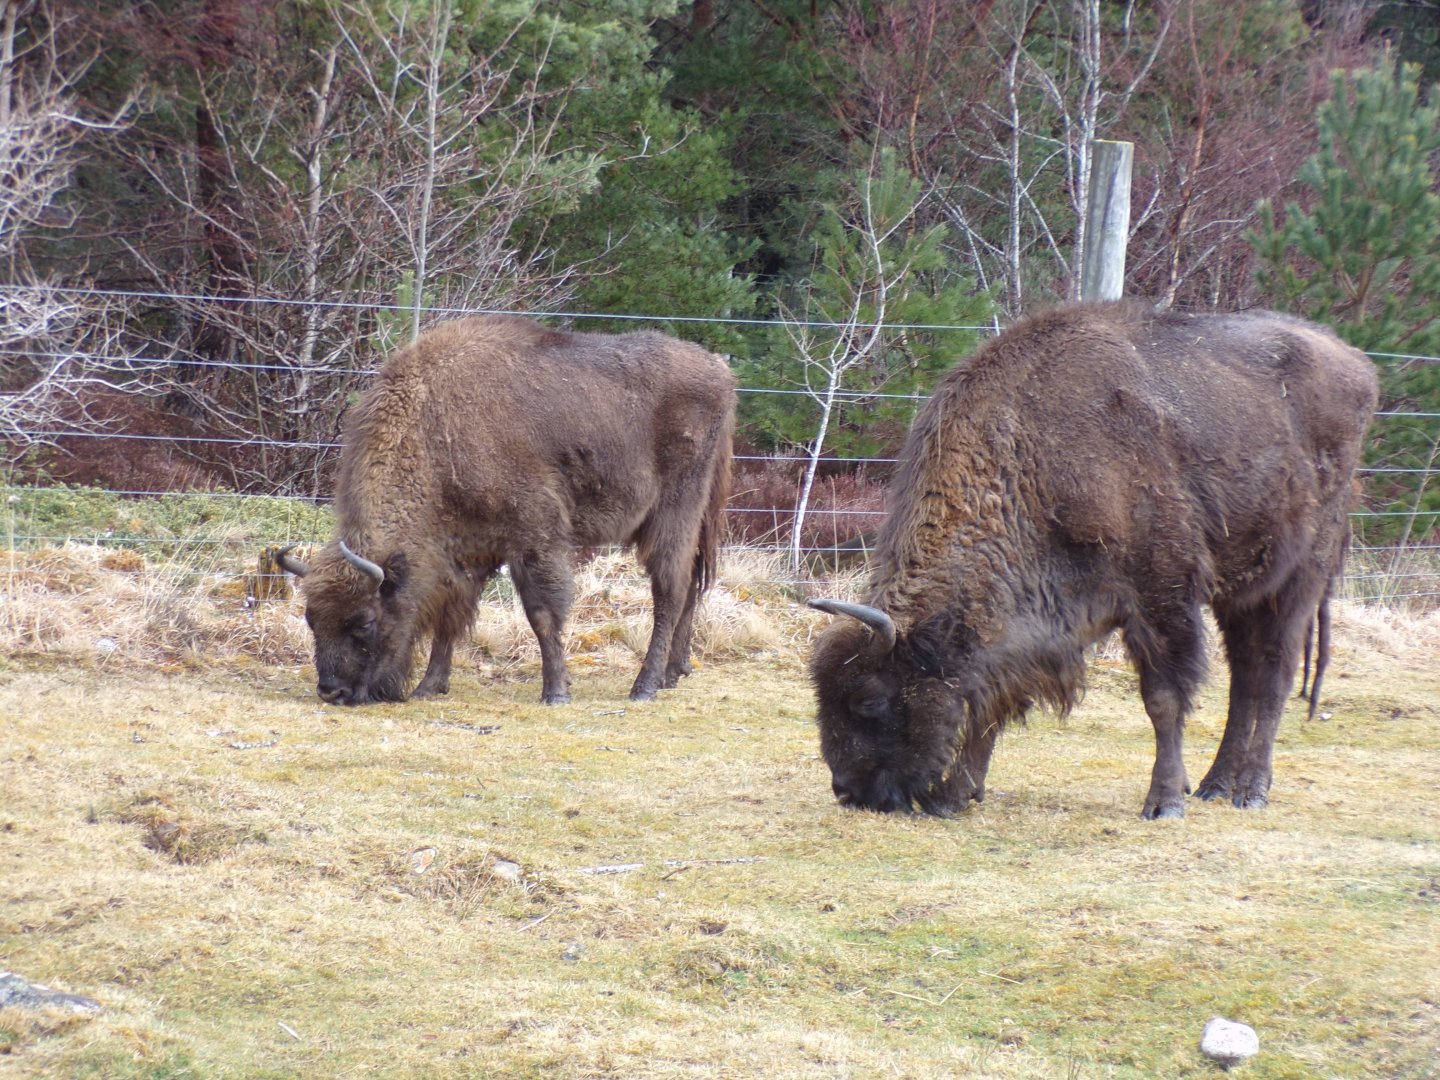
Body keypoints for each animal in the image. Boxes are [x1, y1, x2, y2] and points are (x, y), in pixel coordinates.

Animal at [280, 315, 734, 706]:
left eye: (363, 621)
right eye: (311, 619)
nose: (332, 691)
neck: (435, 430)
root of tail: (719, 370)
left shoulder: (533, 539)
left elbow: (542, 614)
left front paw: (556, 692)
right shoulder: (470, 552)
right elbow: (452, 616)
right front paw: (430, 686)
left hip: (674, 512)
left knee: (670, 588)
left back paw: (644, 686)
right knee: (692, 584)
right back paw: (673, 673)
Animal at [809, 301, 1377, 819]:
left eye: (869, 699)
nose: (848, 791)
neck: (1034, 460)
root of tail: (1357, 364)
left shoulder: (1160, 596)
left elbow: (1163, 698)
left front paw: (1164, 802)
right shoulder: (1028, 629)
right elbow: (993, 702)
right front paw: (954, 796)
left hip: (1300, 577)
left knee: (1275, 674)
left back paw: (1250, 791)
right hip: (1239, 594)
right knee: (1245, 681)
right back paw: (1216, 785)